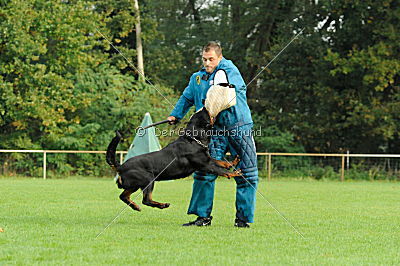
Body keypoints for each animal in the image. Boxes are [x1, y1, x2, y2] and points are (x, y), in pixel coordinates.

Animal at [104, 107, 241, 211]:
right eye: (205, 113)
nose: (204, 105)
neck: (194, 139)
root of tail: (121, 166)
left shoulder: (207, 160)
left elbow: (220, 162)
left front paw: (233, 162)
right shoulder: (205, 165)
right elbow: (221, 170)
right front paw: (235, 173)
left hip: (135, 184)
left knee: (123, 196)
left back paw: (135, 206)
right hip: (148, 178)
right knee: (146, 199)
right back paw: (162, 205)